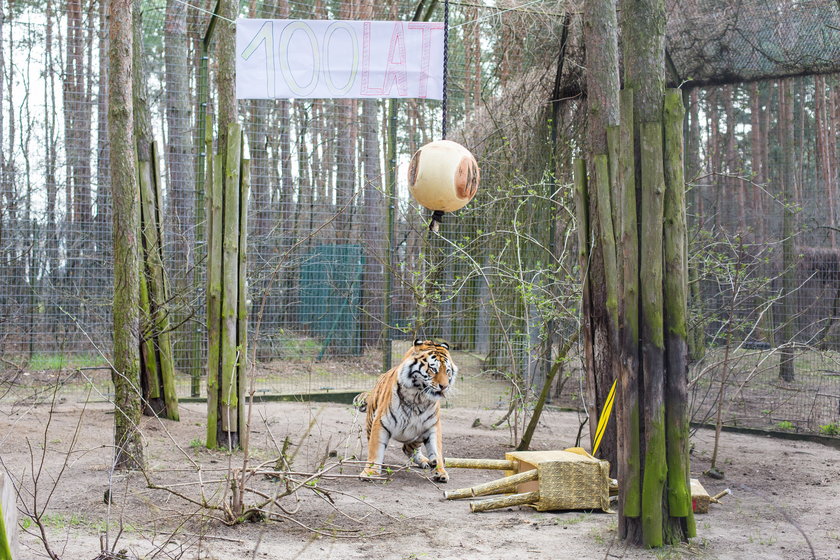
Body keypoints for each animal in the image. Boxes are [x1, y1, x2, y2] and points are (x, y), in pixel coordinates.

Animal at [356, 340, 460, 484]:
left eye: (448, 371)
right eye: (433, 369)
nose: (444, 387)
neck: (418, 397)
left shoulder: (433, 425)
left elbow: (437, 450)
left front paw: (440, 472)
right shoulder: (380, 423)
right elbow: (375, 449)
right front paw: (370, 472)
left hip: (417, 435)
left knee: (408, 448)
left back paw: (425, 462)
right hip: (371, 422)